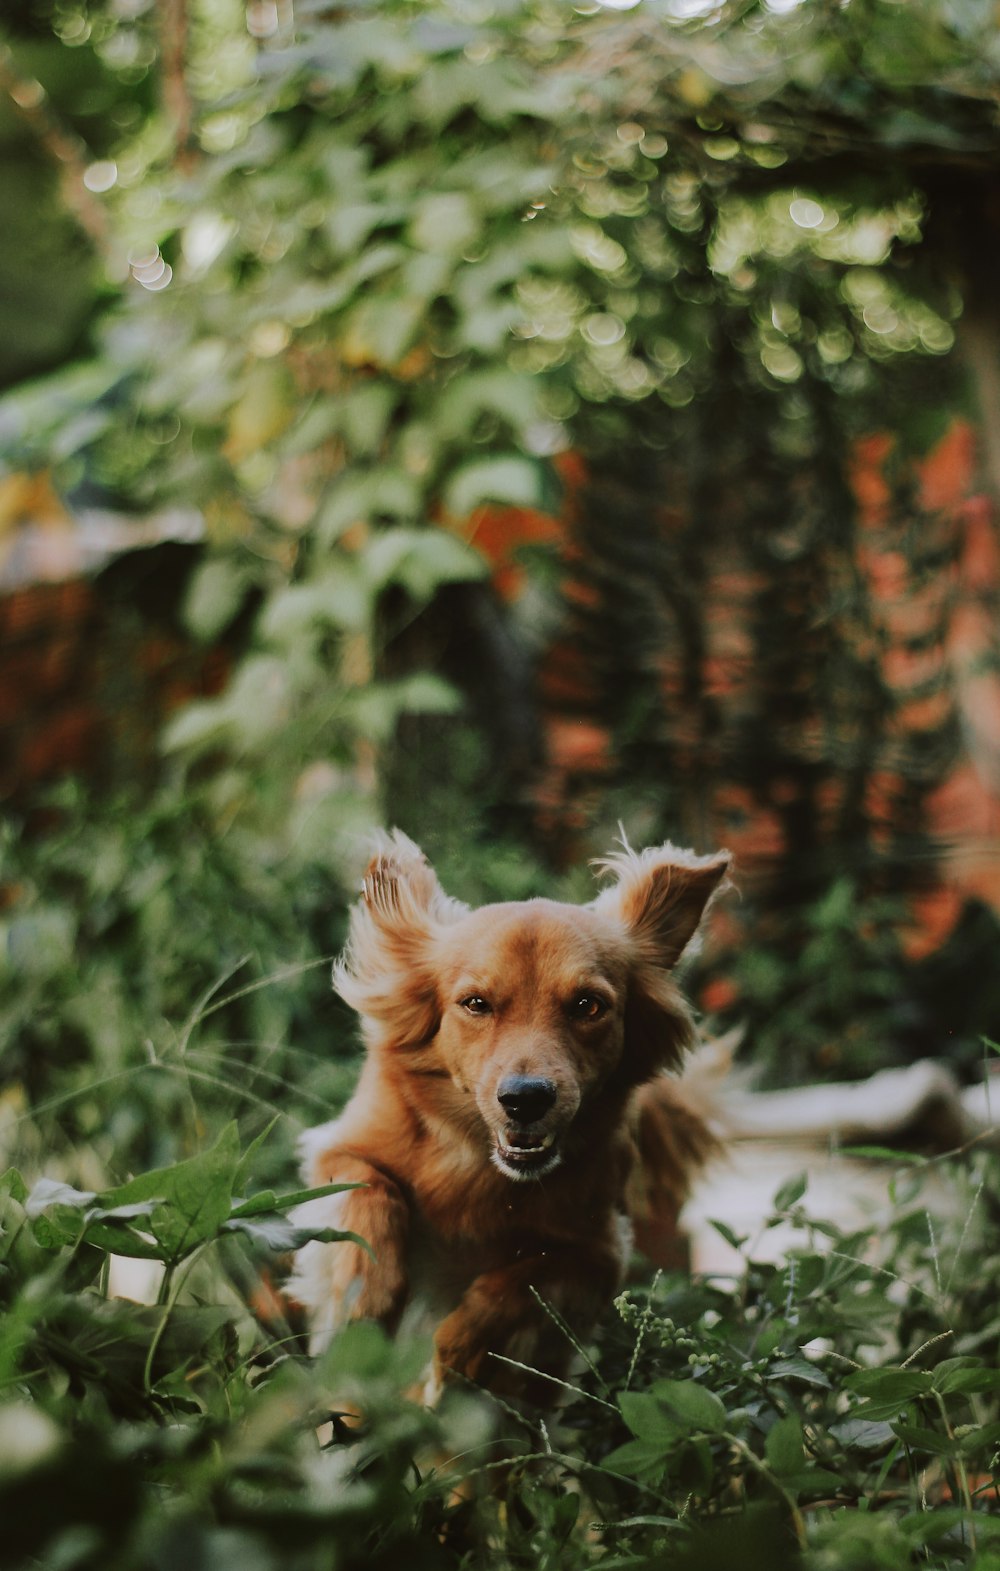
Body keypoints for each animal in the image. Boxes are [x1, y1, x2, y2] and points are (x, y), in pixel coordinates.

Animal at [288, 835, 725, 1413]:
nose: (525, 1099)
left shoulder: (600, 1251)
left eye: (588, 1006)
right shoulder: (337, 1151)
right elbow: (372, 1190)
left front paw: (456, 1353)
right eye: (476, 1003)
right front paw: (368, 1295)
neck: (481, 1170)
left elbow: (520, 1281)